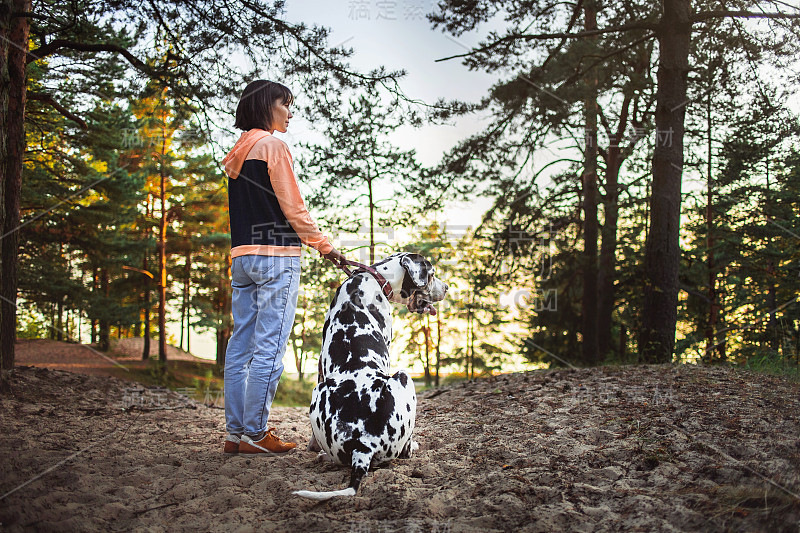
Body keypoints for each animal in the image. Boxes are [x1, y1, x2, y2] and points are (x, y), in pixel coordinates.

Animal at [292, 252, 446, 498]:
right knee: (405, 450)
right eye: (431, 274)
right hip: (404, 377)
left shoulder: (319, 367)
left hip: (318, 390)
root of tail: (363, 445)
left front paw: (312, 446)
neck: (377, 278)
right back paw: (412, 446)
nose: (447, 287)